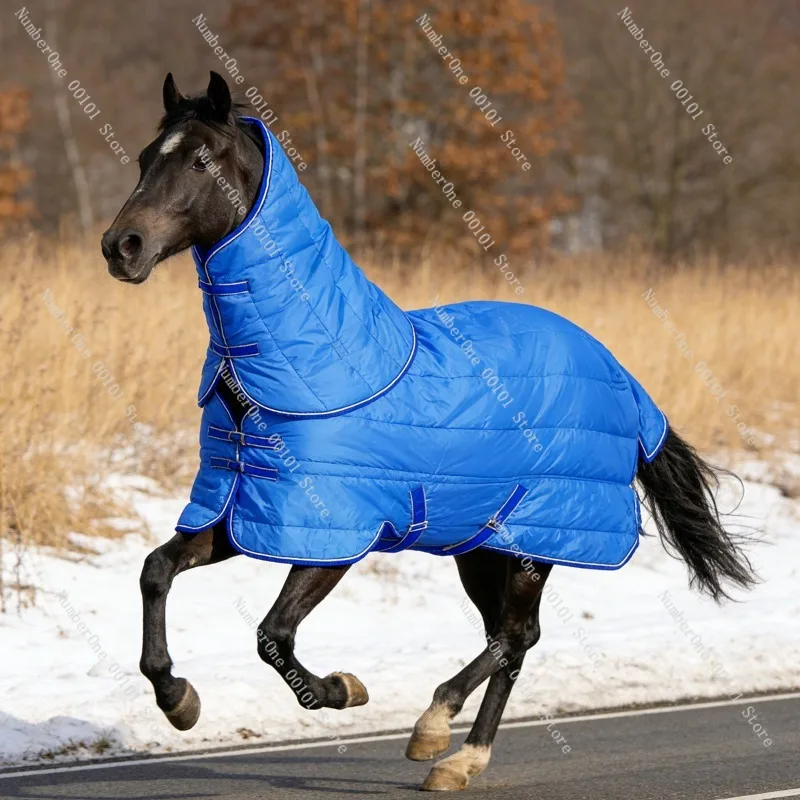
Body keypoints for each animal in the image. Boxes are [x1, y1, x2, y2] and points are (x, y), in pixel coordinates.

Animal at [101, 72, 755, 792]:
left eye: (200, 160)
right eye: (144, 157)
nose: (122, 247)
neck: (309, 370)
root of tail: (625, 382)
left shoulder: (335, 534)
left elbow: (273, 635)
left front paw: (343, 689)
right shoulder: (245, 510)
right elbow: (157, 571)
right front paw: (178, 699)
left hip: (533, 542)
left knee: (515, 636)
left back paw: (441, 736)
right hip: (479, 545)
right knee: (510, 638)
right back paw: (454, 750)